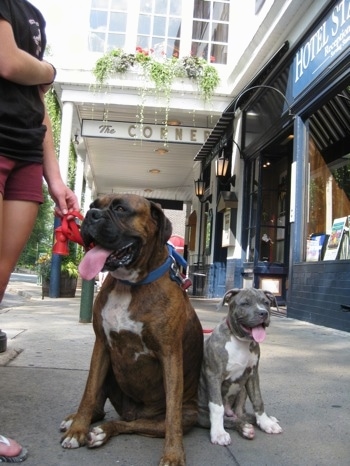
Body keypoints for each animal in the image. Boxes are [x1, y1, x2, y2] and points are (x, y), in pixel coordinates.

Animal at [59, 194, 202, 466]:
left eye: (121, 209)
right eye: (93, 206)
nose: (91, 215)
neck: (129, 285)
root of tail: (131, 412)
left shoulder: (170, 355)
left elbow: (172, 415)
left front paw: (173, 454)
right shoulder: (102, 345)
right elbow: (89, 391)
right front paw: (77, 430)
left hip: (183, 415)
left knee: (132, 425)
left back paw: (103, 432)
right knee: (100, 408)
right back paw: (79, 422)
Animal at [197, 290, 282, 446]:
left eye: (266, 303)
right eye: (245, 303)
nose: (263, 313)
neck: (241, 341)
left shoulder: (253, 373)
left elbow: (258, 400)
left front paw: (265, 422)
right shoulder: (213, 375)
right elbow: (217, 408)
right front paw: (218, 433)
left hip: (242, 392)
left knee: (241, 415)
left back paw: (263, 421)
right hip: (200, 415)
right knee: (229, 420)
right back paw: (244, 428)